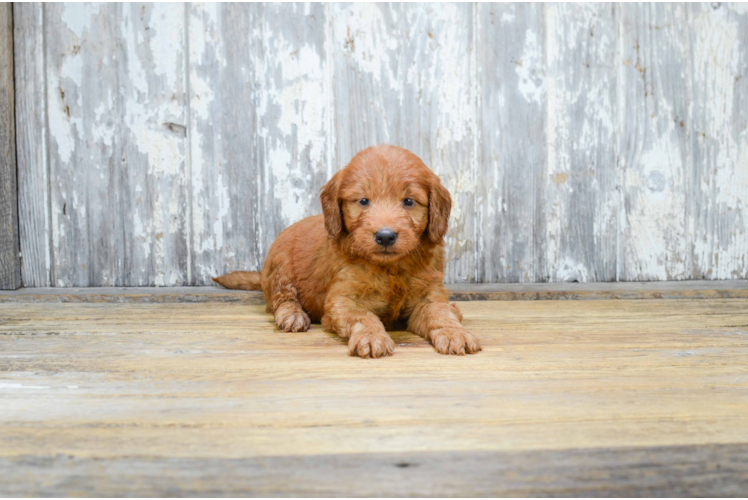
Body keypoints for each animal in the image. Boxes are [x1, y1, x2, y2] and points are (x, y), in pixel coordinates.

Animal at [212, 145, 480, 360]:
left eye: (409, 201)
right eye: (363, 201)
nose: (385, 236)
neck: (390, 268)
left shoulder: (430, 295)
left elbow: (441, 313)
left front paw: (455, 333)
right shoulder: (342, 299)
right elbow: (363, 316)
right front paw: (372, 337)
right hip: (280, 266)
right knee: (282, 298)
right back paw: (293, 315)